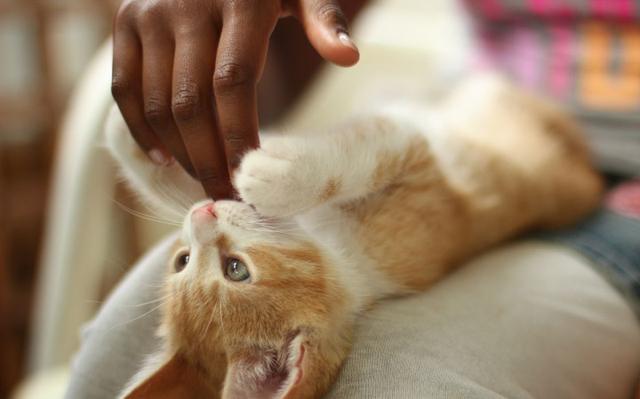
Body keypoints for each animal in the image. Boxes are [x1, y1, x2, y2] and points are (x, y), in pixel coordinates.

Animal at [107, 74, 604, 396]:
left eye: (233, 269)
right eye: (188, 262)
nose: (204, 217)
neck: (335, 249)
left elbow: (188, 182)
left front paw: (132, 134)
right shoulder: (416, 170)